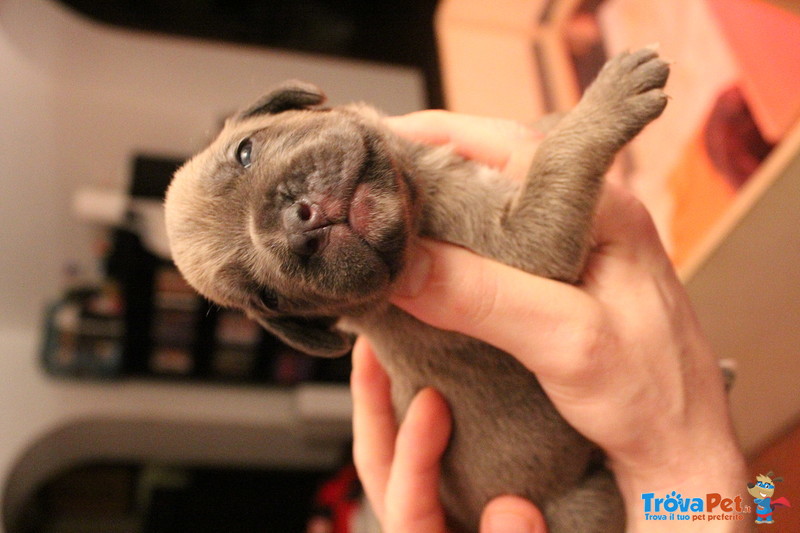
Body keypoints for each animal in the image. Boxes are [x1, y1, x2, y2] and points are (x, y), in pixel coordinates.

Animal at [167, 47, 668, 528]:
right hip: (588, 501)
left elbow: (539, 135)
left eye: (245, 151)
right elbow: (557, 161)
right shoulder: (519, 241)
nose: (298, 221)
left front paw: (559, 113)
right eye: (266, 296)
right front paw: (609, 98)